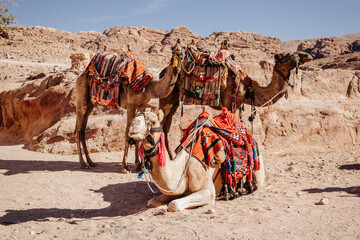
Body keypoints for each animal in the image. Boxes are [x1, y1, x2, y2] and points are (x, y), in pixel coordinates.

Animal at [75, 41, 183, 172]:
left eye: (182, 49)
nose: (179, 55)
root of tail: (81, 75)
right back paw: (82, 164)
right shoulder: (131, 104)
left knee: (82, 131)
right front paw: (125, 167)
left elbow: (138, 134)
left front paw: (139, 165)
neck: (148, 87)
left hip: (90, 105)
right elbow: (128, 133)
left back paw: (91, 162)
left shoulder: (142, 104)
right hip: (81, 99)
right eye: (174, 50)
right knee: (77, 131)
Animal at [128, 110, 266, 212]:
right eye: (136, 117)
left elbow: (174, 205)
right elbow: (152, 201)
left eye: (152, 121)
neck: (183, 165)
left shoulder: (208, 190)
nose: (133, 123)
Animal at [160, 47, 312, 158]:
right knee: (163, 123)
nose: (307, 56)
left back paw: (172, 157)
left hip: (174, 99)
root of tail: (163, 71)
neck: (248, 90)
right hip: (168, 95)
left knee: (166, 124)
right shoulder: (229, 103)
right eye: (287, 55)